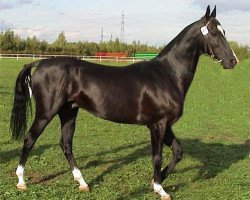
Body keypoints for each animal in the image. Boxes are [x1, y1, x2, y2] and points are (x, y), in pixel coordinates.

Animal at [10, 5, 238, 199]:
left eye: (223, 30)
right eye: (214, 33)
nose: (232, 61)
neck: (167, 74)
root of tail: (40, 63)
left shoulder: (165, 125)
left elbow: (178, 152)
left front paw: (156, 182)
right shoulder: (158, 125)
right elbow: (157, 157)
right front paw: (160, 189)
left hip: (69, 111)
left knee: (65, 144)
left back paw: (83, 183)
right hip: (46, 112)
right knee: (29, 139)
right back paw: (21, 182)